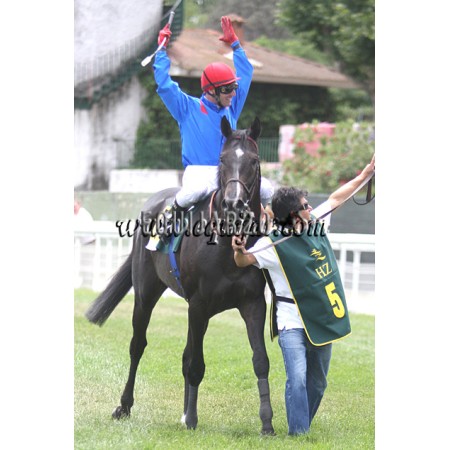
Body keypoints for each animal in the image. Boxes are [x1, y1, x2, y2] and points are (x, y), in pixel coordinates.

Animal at [85, 117, 275, 435]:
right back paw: (125, 406)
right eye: (222, 160)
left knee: (185, 354)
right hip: (145, 295)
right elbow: (196, 364)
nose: (234, 204)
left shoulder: (252, 304)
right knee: (137, 346)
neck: (226, 244)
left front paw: (267, 423)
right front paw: (192, 419)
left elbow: (260, 360)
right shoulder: (198, 304)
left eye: (254, 160)